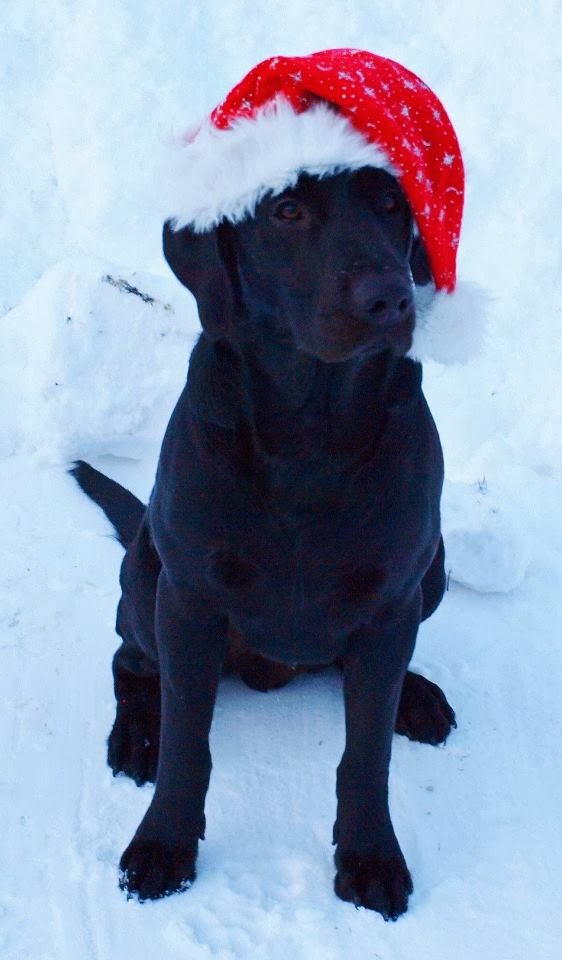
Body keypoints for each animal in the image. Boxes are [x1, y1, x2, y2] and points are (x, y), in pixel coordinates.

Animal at [71, 161, 457, 920]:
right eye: (286, 211)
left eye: (392, 205)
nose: (390, 298)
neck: (313, 427)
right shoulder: (189, 601)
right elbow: (188, 744)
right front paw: (164, 845)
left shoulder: (394, 600)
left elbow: (366, 751)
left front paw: (370, 855)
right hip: (147, 577)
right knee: (130, 661)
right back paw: (137, 734)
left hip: (434, 572)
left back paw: (417, 695)